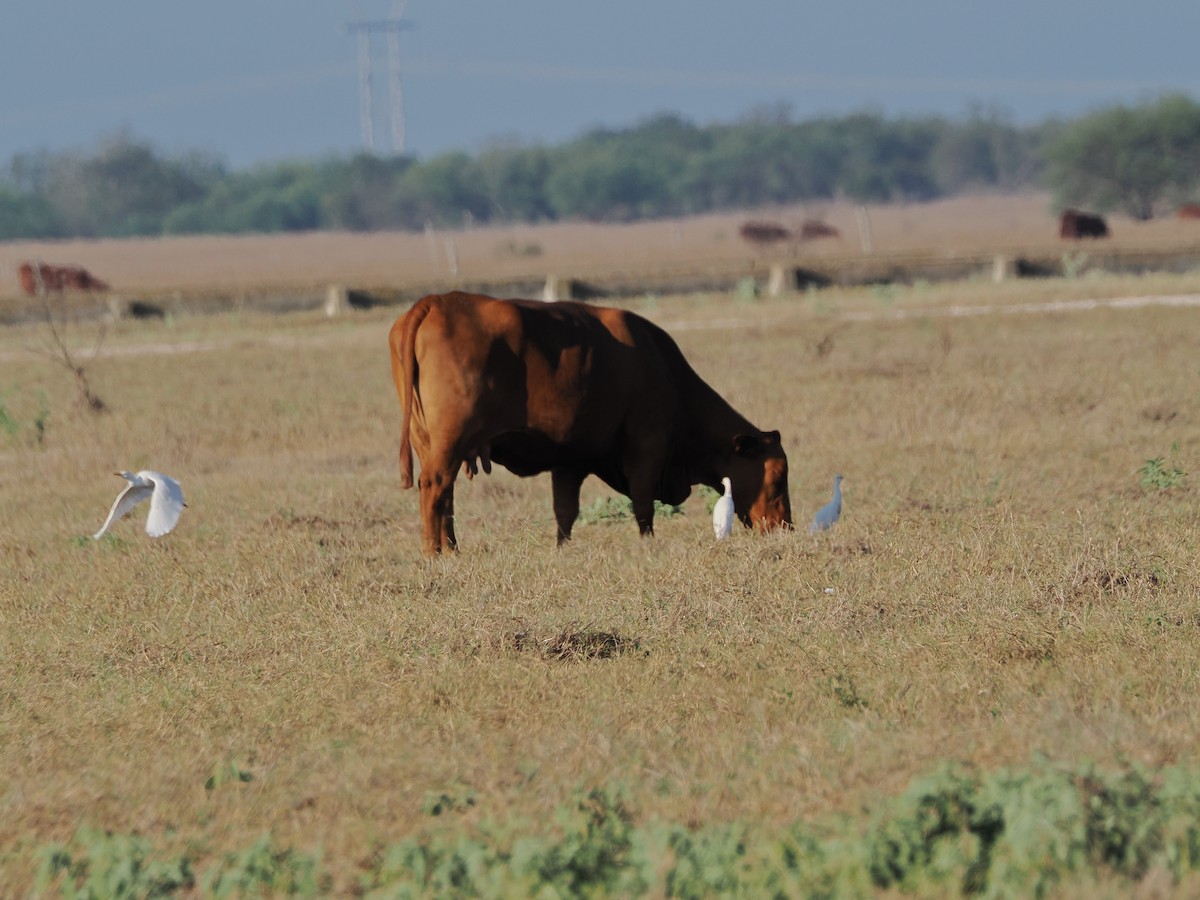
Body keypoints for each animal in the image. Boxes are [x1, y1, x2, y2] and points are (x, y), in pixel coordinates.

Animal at [389, 291, 793, 555]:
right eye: (776, 478)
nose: (784, 529)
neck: (663, 368)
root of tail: (436, 301)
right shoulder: (646, 448)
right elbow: (643, 504)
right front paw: (648, 544)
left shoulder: (570, 461)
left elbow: (565, 513)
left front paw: (562, 549)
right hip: (449, 444)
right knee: (435, 486)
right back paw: (435, 552)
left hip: (433, 444)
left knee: (445, 495)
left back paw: (451, 548)